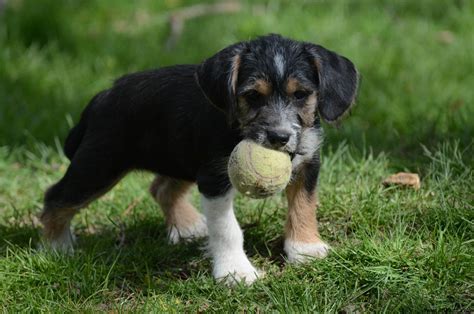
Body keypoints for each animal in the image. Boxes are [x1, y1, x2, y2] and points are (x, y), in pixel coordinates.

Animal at [41, 33, 360, 284]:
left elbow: (304, 206)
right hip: (98, 166)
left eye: (301, 95)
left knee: (160, 188)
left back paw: (187, 227)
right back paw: (57, 248)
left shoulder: (308, 165)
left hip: (180, 158)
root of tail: (104, 95)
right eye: (253, 96)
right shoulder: (214, 179)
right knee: (55, 197)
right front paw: (236, 272)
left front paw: (304, 248)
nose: (279, 138)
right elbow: (227, 229)